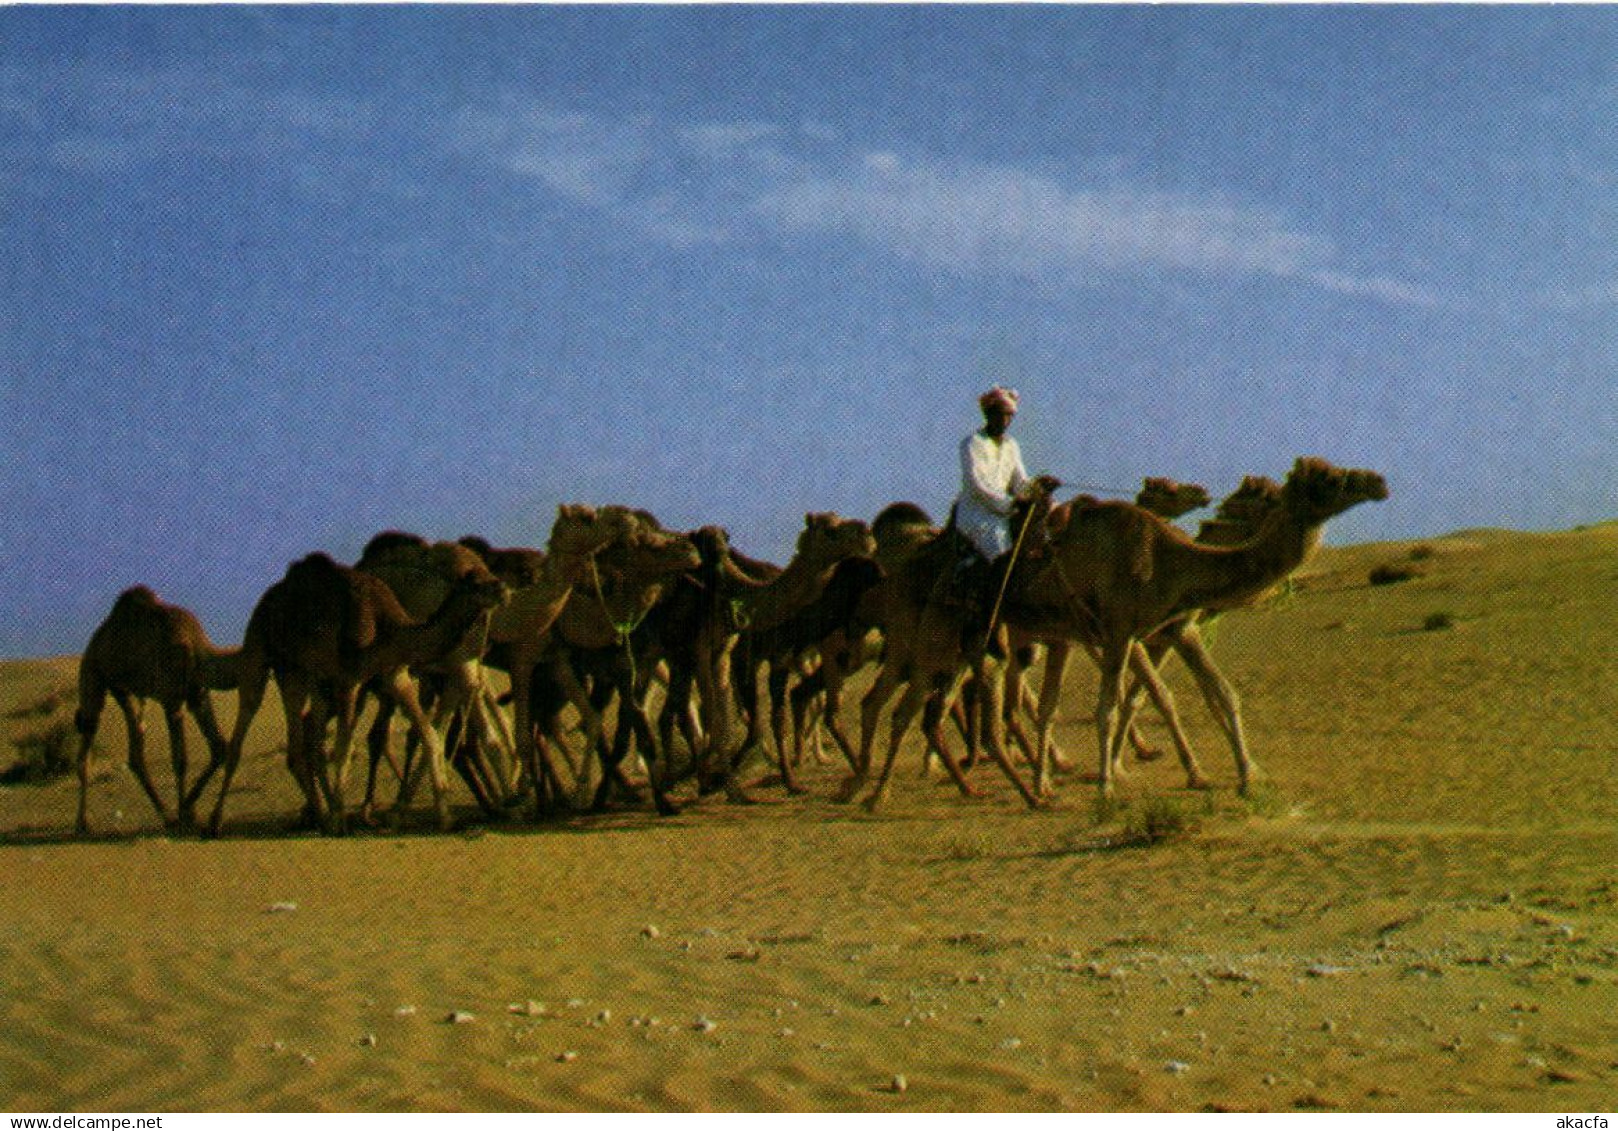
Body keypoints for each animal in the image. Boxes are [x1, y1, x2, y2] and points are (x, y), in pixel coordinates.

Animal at [73, 586, 238, 834]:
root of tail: (97, 638)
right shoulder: (172, 702)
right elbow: (180, 760)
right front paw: (185, 814)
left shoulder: (198, 696)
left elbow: (219, 747)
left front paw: (191, 812)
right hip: (93, 675)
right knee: (87, 740)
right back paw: (83, 823)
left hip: (127, 691)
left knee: (135, 748)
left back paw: (166, 816)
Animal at [205, 552, 508, 836]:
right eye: (476, 583)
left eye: (490, 576)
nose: (502, 588)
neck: (387, 626)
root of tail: (269, 597)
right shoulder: (349, 679)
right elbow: (344, 749)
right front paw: (342, 820)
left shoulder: (394, 673)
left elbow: (430, 736)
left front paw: (445, 818)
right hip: (264, 650)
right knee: (251, 722)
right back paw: (217, 821)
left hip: (305, 675)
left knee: (308, 741)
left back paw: (323, 815)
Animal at [1005, 457, 1387, 797]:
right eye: (1328, 479)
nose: (1378, 482)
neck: (1165, 563)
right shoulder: (1123, 631)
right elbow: (1131, 701)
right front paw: (1111, 780)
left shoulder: (1175, 632)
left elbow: (1215, 693)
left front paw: (1249, 774)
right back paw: (1032, 771)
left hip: (1057, 637)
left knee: (1036, 700)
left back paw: (1041, 772)